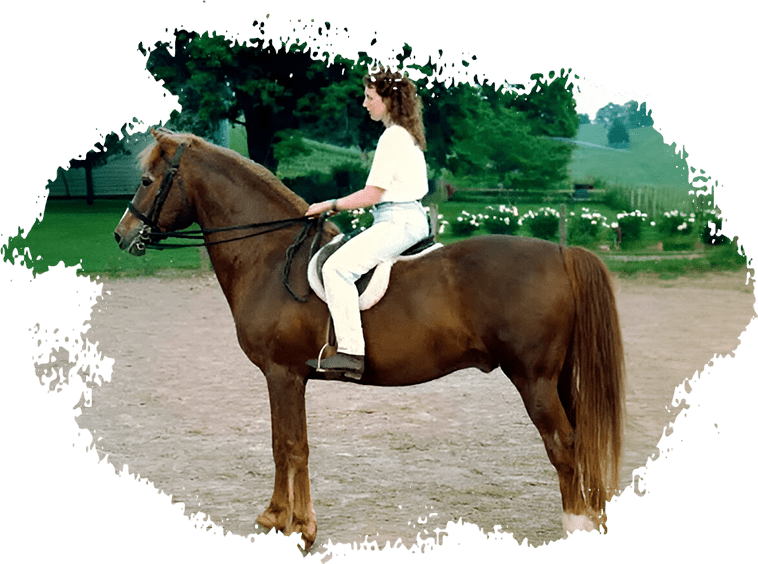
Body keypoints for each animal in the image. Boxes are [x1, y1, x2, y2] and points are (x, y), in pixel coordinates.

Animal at [114, 128, 625, 548]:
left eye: (146, 180)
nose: (122, 236)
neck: (270, 257)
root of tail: (562, 253)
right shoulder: (288, 378)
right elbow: (284, 444)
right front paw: (278, 518)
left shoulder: (282, 375)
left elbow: (290, 446)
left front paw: (299, 527)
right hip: (558, 379)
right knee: (580, 439)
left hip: (533, 380)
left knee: (563, 445)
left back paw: (576, 525)